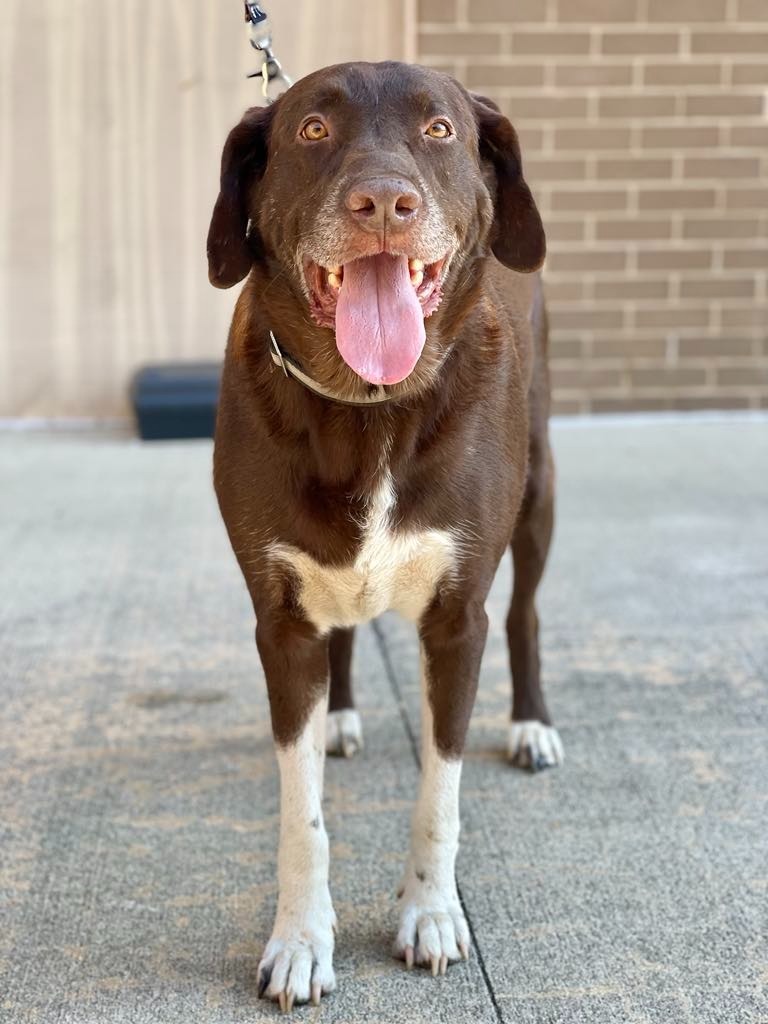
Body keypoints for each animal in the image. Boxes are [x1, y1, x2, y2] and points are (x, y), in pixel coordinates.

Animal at [207, 61, 561, 1007]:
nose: (382, 204)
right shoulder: (279, 621)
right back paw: (341, 715)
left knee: (527, 613)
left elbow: (440, 796)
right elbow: (304, 818)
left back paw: (531, 724)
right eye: (313, 130)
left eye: (439, 130)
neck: (368, 407)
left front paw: (430, 914)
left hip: (540, 488)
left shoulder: (457, 618)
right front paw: (300, 941)